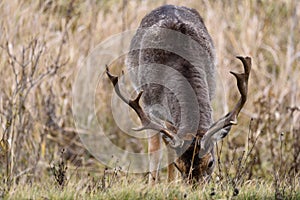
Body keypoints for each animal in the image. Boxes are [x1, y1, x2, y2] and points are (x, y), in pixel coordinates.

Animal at [105, 4, 251, 184]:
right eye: (178, 165)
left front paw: (171, 184)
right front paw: (158, 185)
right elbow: (157, 150)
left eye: (211, 162)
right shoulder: (150, 108)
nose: (195, 187)